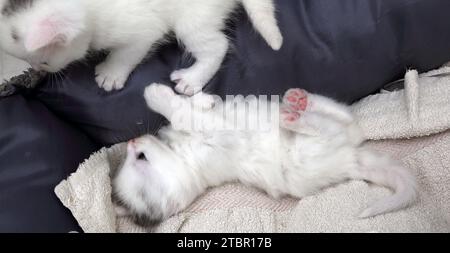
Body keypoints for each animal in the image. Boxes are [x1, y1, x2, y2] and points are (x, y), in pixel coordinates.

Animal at [0, 0, 282, 94]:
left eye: (44, 61)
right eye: (29, 63)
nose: (39, 69)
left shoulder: (144, 29)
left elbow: (126, 53)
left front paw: (111, 74)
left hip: (192, 18)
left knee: (217, 46)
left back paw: (192, 79)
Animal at [112, 84, 418, 226]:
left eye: (139, 157)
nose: (131, 142)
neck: (183, 155)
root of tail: (352, 159)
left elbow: (188, 108)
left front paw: (185, 95)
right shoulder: (217, 134)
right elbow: (183, 113)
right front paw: (161, 95)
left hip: (335, 131)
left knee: (347, 117)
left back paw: (300, 100)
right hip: (310, 149)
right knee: (329, 126)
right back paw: (296, 116)